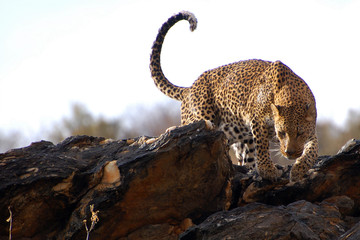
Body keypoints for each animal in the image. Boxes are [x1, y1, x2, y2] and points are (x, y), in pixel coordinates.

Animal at [149, 10, 318, 181]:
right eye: (282, 133)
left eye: (300, 133)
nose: (289, 153)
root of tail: (190, 88)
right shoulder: (257, 120)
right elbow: (262, 146)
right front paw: (268, 170)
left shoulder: (310, 129)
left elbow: (313, 149)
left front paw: (299, 169)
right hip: (203, 119)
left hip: (236, 136)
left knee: (245, 158)